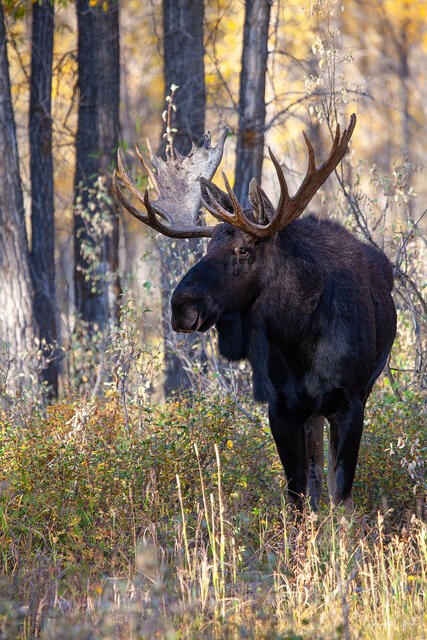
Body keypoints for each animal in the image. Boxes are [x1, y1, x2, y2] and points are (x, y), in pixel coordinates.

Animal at [113, 115, 397, 511]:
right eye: (207, 247)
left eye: (245, 249)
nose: (180, 305)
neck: (300, 343)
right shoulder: (281, 408)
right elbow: (297, 496)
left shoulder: (351, 401)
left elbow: (341, 497)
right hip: (309, 413)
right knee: (314, 477)